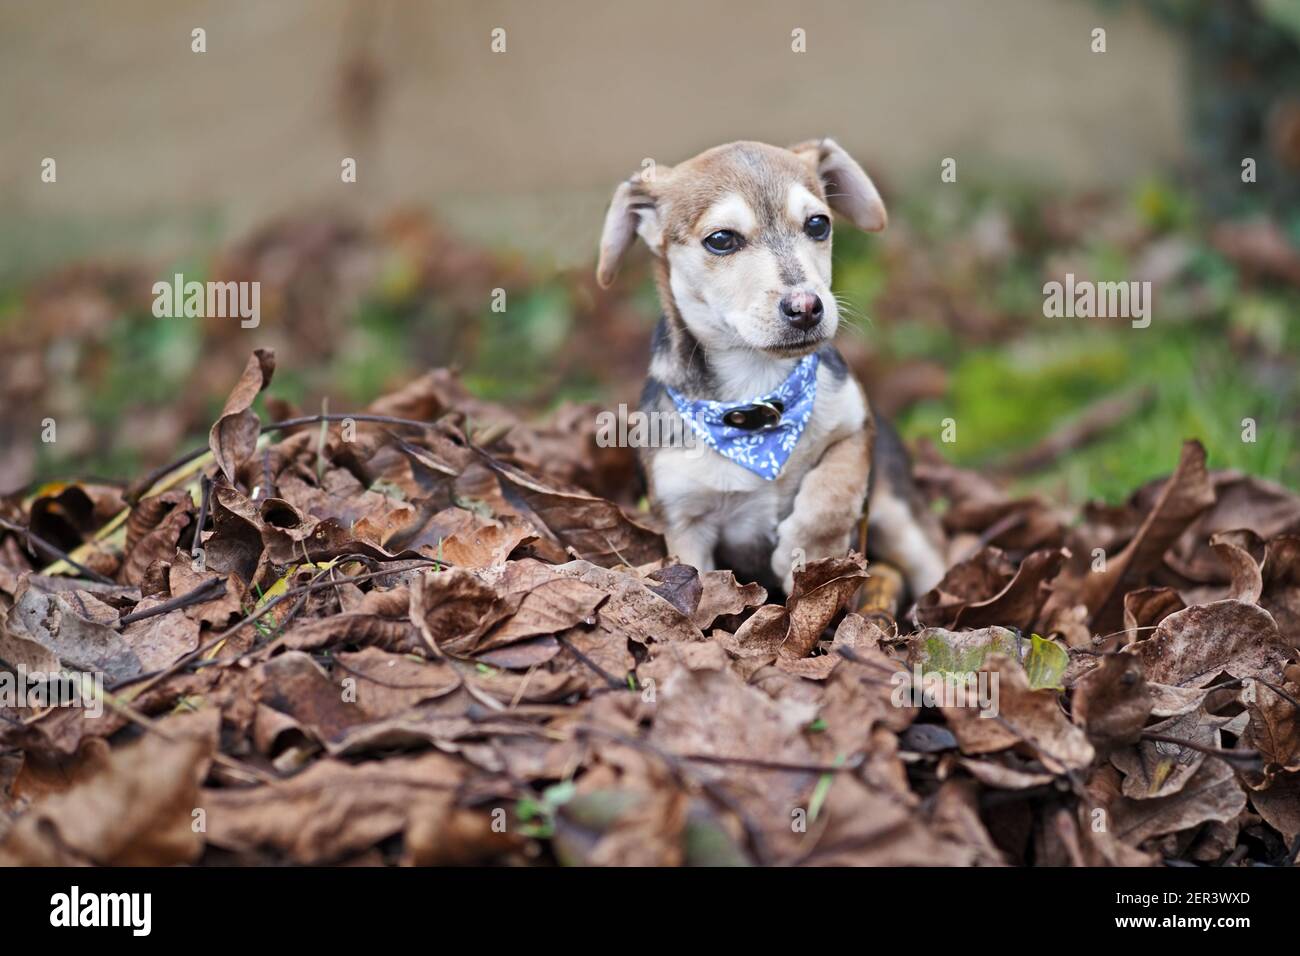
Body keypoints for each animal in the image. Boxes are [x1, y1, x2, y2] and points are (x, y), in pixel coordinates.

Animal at [595, 138, 946, 600]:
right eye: (721, 239)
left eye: (818, 224)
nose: (807, 307)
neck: (759, 400)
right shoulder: (685, 522)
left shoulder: (855, 428)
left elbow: (833, 491)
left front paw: (810, 554)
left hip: (900, 515)